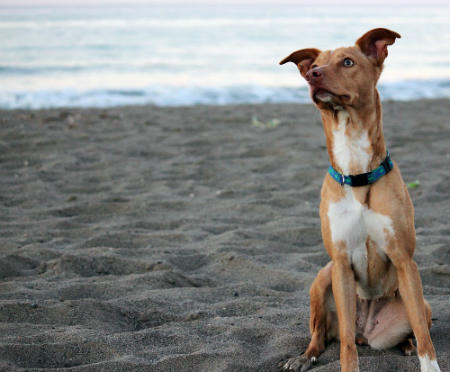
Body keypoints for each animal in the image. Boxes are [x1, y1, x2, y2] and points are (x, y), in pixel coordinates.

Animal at [278, 29, 440, 372]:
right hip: (322, 278)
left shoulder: (405, 261)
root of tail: (368, 330)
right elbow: (346, 344)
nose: (313, 75)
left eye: (347, 62)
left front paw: (429, 364)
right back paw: (304, 357)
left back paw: (407, 345)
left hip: (421, 300)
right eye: (316, 63)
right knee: (325, 335)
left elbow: (423, 334)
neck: (356, 169)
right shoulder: (340, 264)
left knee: (417, 326)